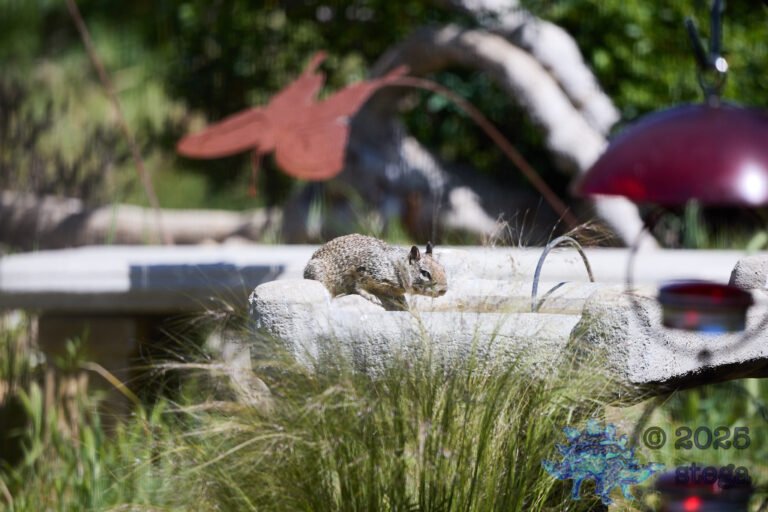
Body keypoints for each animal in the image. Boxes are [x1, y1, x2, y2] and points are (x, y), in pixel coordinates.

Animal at [303, 234, 448, 310]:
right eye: (425, 273)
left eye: (443, 269)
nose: (443, 290)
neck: (395, 267)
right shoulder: (363, 271)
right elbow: (358, 287)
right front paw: (371, 296)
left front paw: (402, 301)